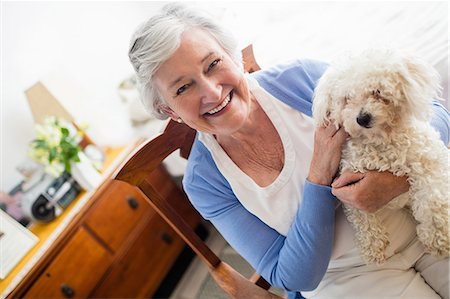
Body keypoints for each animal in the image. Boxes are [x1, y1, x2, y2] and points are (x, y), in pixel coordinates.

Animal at [312, 48, 450, 264]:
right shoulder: (349, 185)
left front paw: (438, 239)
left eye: (377, 91)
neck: (379, 140)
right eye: (347, 98)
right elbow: (362, 219)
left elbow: (433, 202)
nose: (362, 118)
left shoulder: (429, 162)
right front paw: (372, 246)